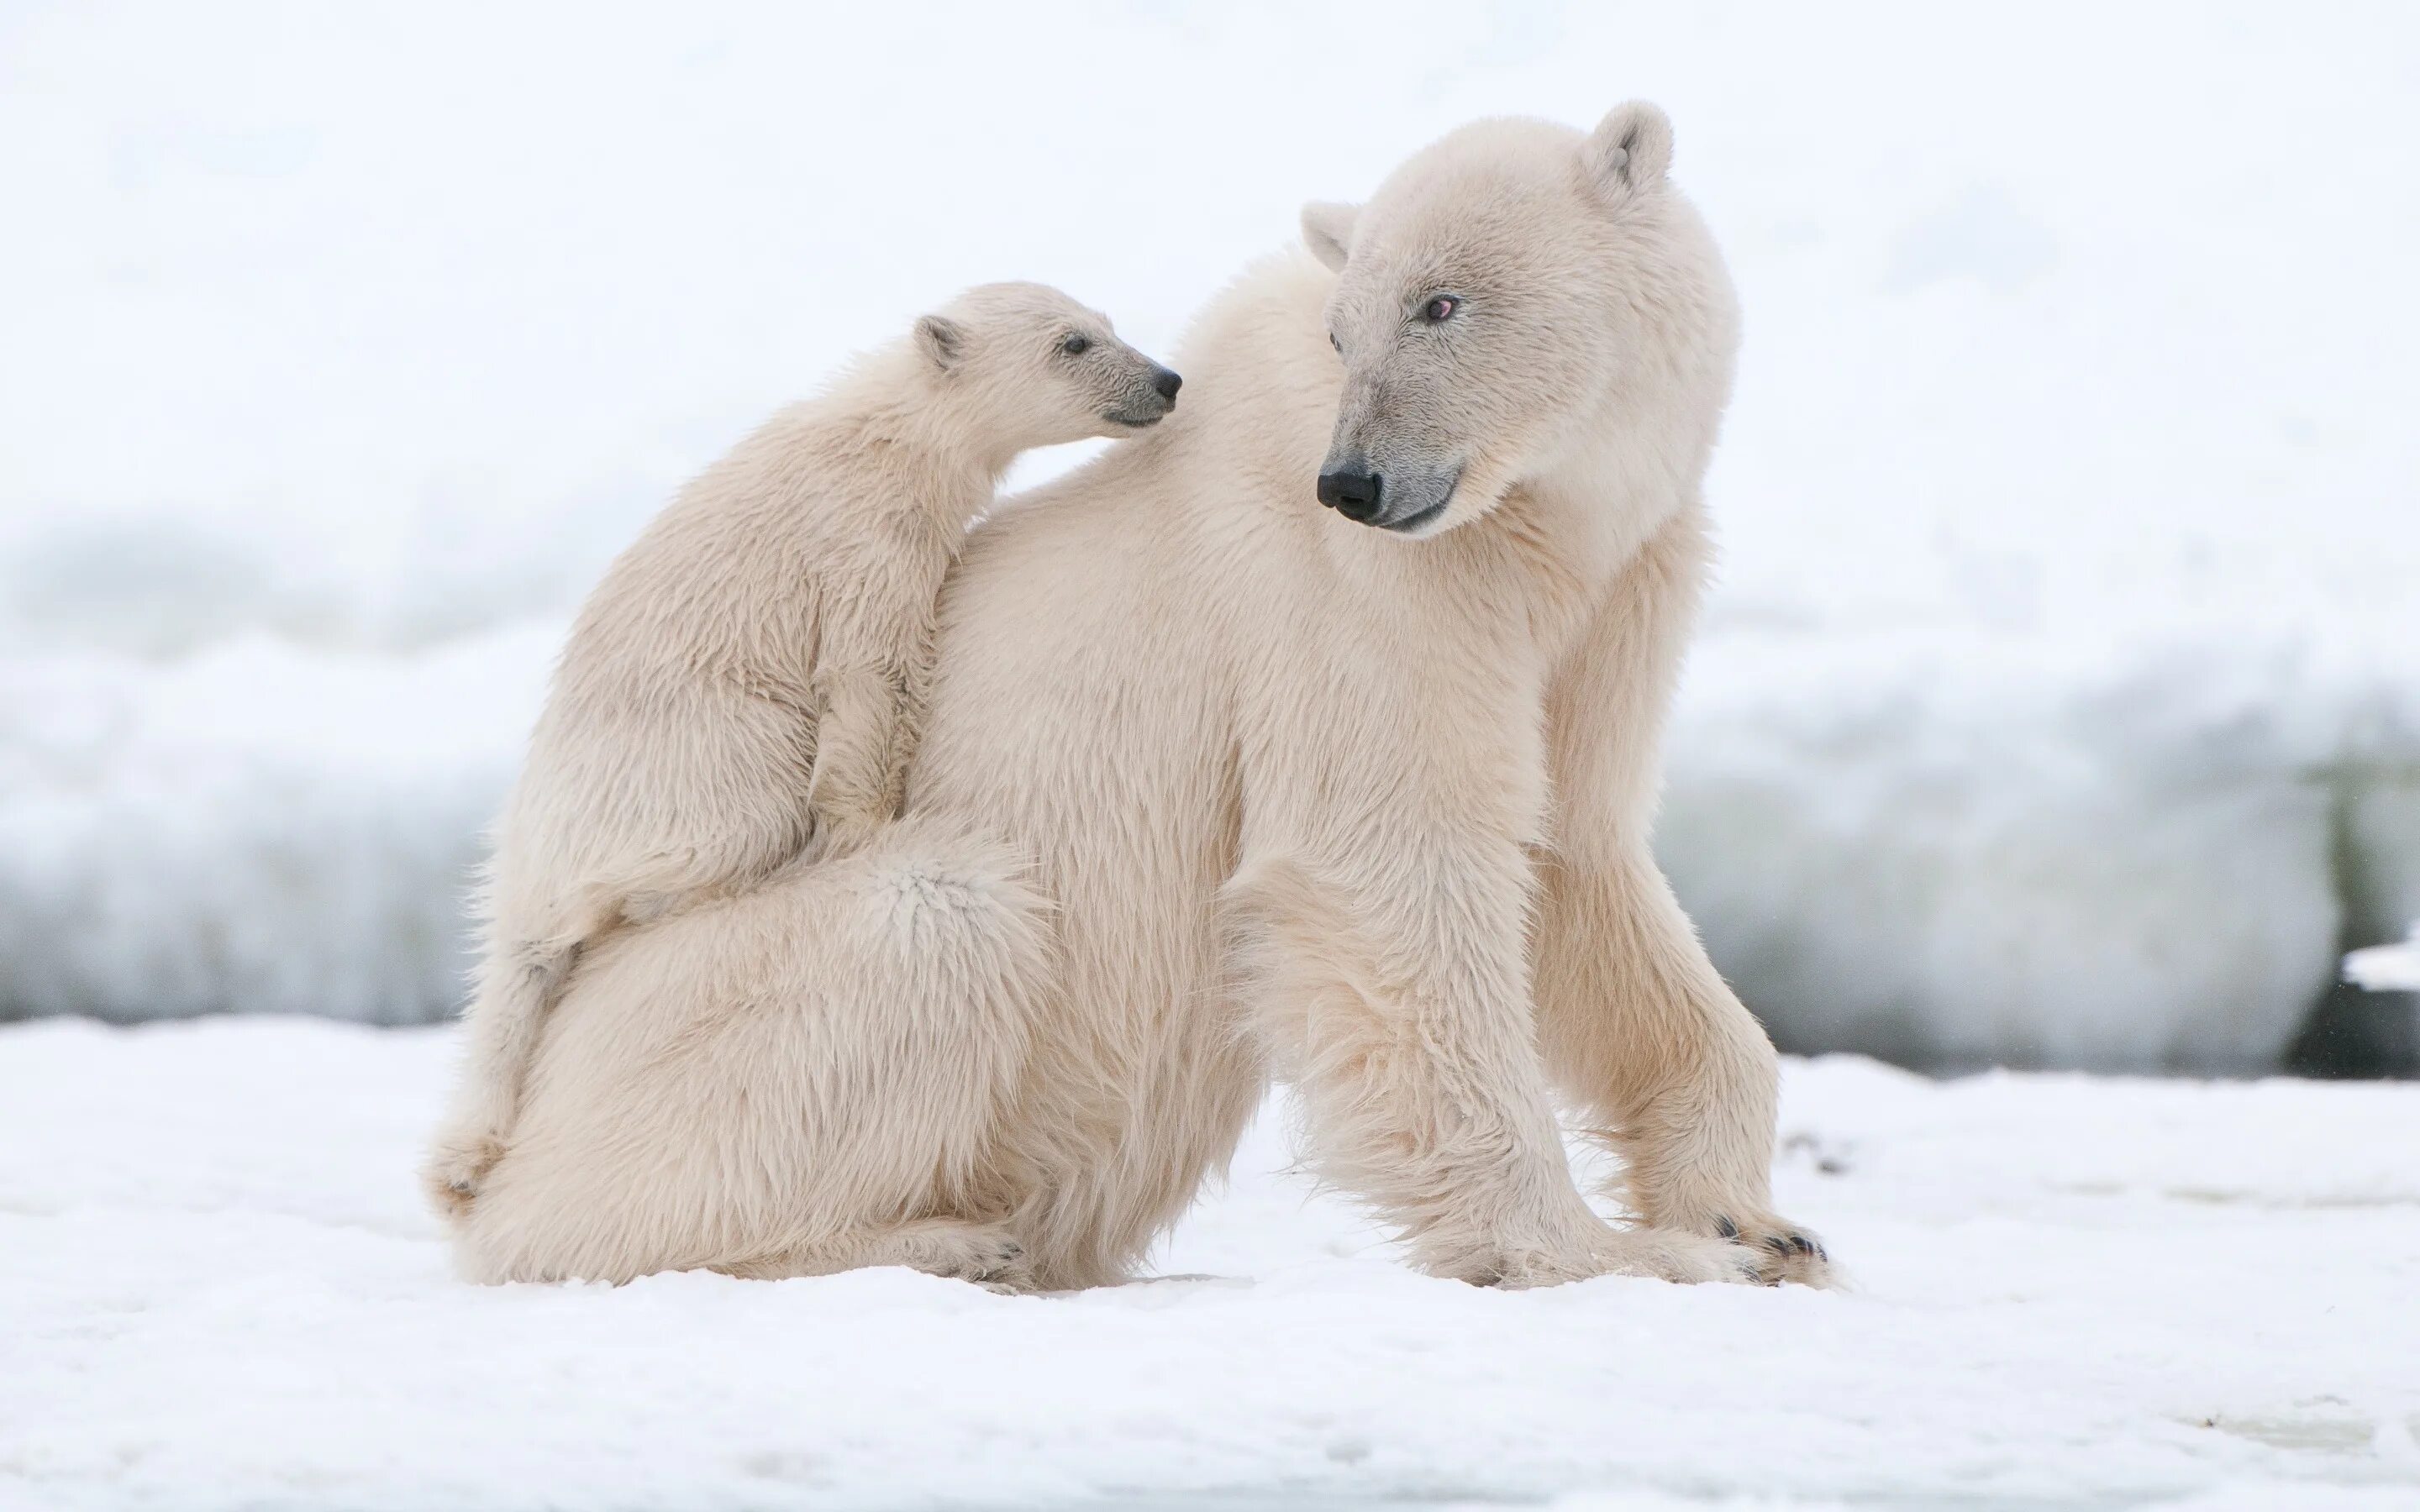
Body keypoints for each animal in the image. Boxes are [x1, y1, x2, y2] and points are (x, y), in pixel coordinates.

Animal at [455, 103, 1819, 1287]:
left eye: (1442, 303)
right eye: (1345, 331)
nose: (1357, 482)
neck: (1535, 530)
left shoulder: (1610, 596)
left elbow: (1578, 859)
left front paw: (1756, 1222)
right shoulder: (1357, 594)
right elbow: (1387, 864)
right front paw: (1619, 1251)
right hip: (698, 1004)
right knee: (931, 919)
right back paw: (938, 1239)